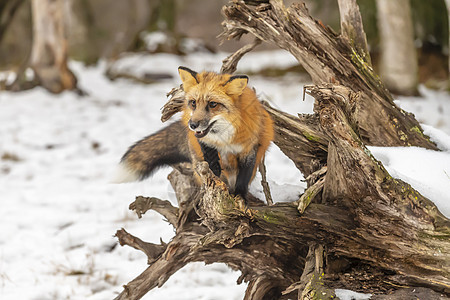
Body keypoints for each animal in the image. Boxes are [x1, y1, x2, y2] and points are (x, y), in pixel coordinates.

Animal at [114, 67, 272, 198]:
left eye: (213, 104)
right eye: (193, 103)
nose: (192, 125)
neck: (224, 139)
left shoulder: (249, 149)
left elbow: (244, 177)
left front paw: (240, 196)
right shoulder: (205, 144)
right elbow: (210, 158)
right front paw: (215, 170)